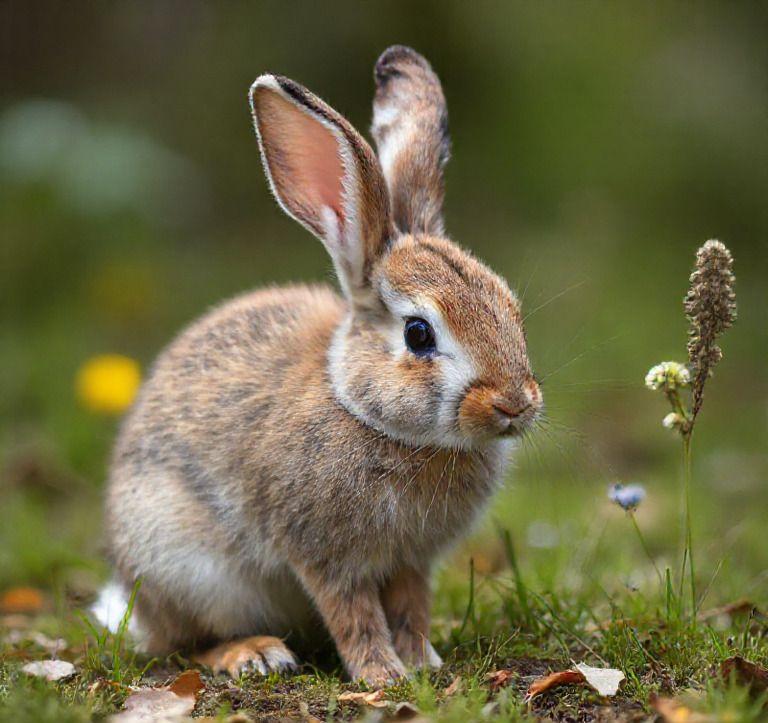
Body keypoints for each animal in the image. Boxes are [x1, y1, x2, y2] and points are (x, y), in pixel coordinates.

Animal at [94, 42, 540, 688]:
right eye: (419, 333)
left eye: (511, 309)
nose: (515, 404)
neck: (371, 416)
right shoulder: (325, 555)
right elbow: (354, 615)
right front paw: (382, 676)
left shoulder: (410, 562)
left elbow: (410, 609)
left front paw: (422, 663)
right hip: (189, 567)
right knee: (184, 644)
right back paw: (252, 654)